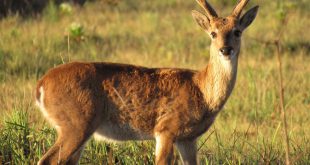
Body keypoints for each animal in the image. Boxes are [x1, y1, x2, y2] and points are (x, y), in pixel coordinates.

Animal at [35, 0, 260, 164]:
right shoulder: (166, 128)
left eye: (237, 31)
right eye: (213, 33)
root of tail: (41, 85)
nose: (225, 49)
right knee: (46, 160)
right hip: (76, 123)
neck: (202, 91)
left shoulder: (188, 139)